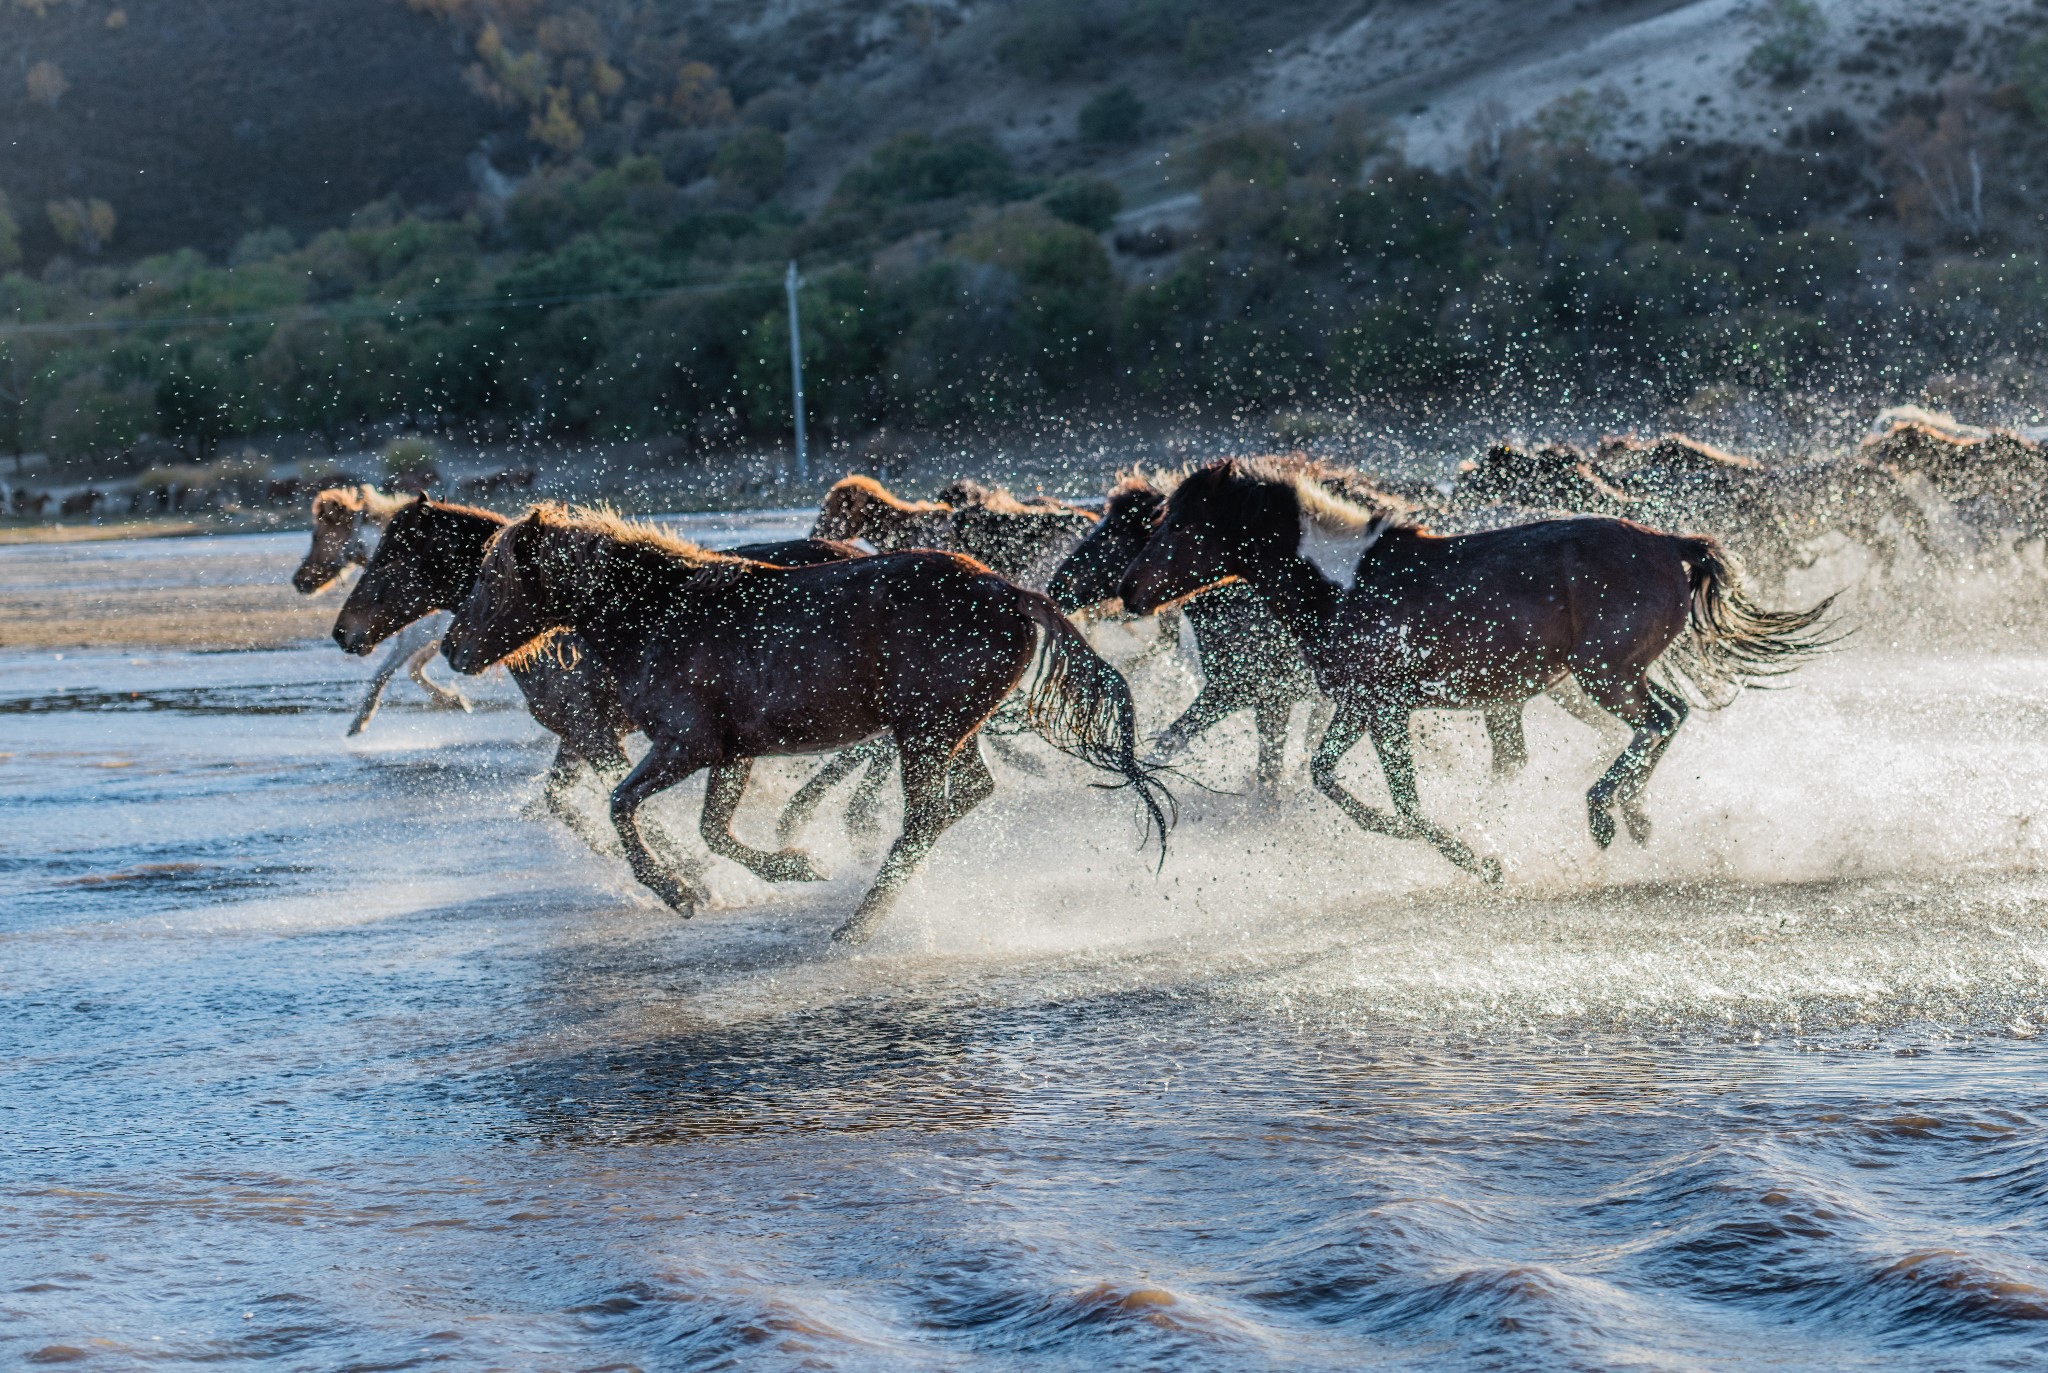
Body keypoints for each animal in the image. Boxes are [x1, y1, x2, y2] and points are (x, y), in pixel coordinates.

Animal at [290, 489, 468, 737]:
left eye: (317, 536)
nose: (298, 580)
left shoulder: (415, 637)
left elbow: (384, 674)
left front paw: (359, 722)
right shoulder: (427, 639)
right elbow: (411, 670)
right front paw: (453, 699)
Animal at [325, 495, 864, 860]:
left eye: (388, 558)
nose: (342, 631)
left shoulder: (597, 733)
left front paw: (683, 869)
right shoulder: (577, 734)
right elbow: (559, 801)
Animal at [440, 506, 1171, 946]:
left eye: (491, 577)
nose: (451, 649)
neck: (657, 614)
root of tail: (1014, 594)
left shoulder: (686, 744)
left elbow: (623, 804)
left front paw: (679, 892)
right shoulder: (732, 751)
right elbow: (713, 829)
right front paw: (794, 863)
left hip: (925, 731)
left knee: (928, 814)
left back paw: (858, 923)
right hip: (942, 729)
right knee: (967, 792)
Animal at [1114, 459, 1835, 881]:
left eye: (1178, 526)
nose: (1129, 591)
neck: (1344, 582)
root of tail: (1671, 543)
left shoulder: (1388, 706)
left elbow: (1404, 798)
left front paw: (1480, 859)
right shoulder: (1362, 704)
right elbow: (1327, 777)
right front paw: (1444, 843)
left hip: (1604, 676)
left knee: (1659, 721)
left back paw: (1604, 814)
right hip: (1615, 674)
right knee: (1667, 718)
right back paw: (1635, 817)